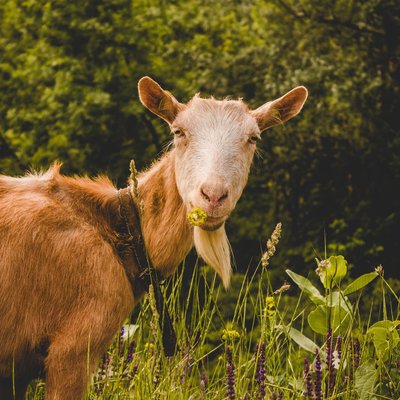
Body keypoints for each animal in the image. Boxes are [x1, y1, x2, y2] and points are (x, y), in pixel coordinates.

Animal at [0, 76, 306, 398]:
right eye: (178, 131)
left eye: (253, 138)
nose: (212, 196)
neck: (119, 231)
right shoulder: (72, 351)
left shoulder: (16, 373)